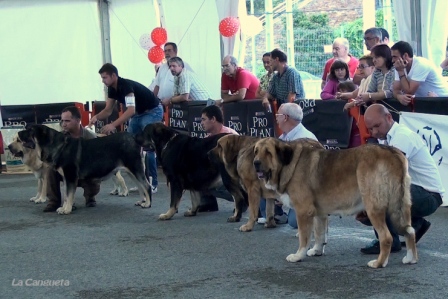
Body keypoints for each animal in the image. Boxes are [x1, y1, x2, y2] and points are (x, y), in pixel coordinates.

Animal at [18, 125, 150, 214]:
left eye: (30, 130)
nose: (18, 132)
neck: (59, 147)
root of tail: (133, 137)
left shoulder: (71, 177)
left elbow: (69, 194)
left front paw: (67, 210)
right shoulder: (66, 178)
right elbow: (66, 195)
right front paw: (64, 207)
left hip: (135, 169)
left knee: (146, 186)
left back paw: (147, 204)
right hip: (131, 172)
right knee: (140, 186)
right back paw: (142, 201)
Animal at [252, 138, 416, 270]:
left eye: (268, 152)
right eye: (256, 151)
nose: (255, 163)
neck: (290, 162)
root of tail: (393, 152)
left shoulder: (304, 211)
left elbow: (304, 238)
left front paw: (298, 256)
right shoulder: (319, 214)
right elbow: (319, 234)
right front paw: (317, 251)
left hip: (373, 209)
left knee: (386, 238)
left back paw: (379, 263)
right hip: (402, 207)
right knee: (410, 231)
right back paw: (411, 259)